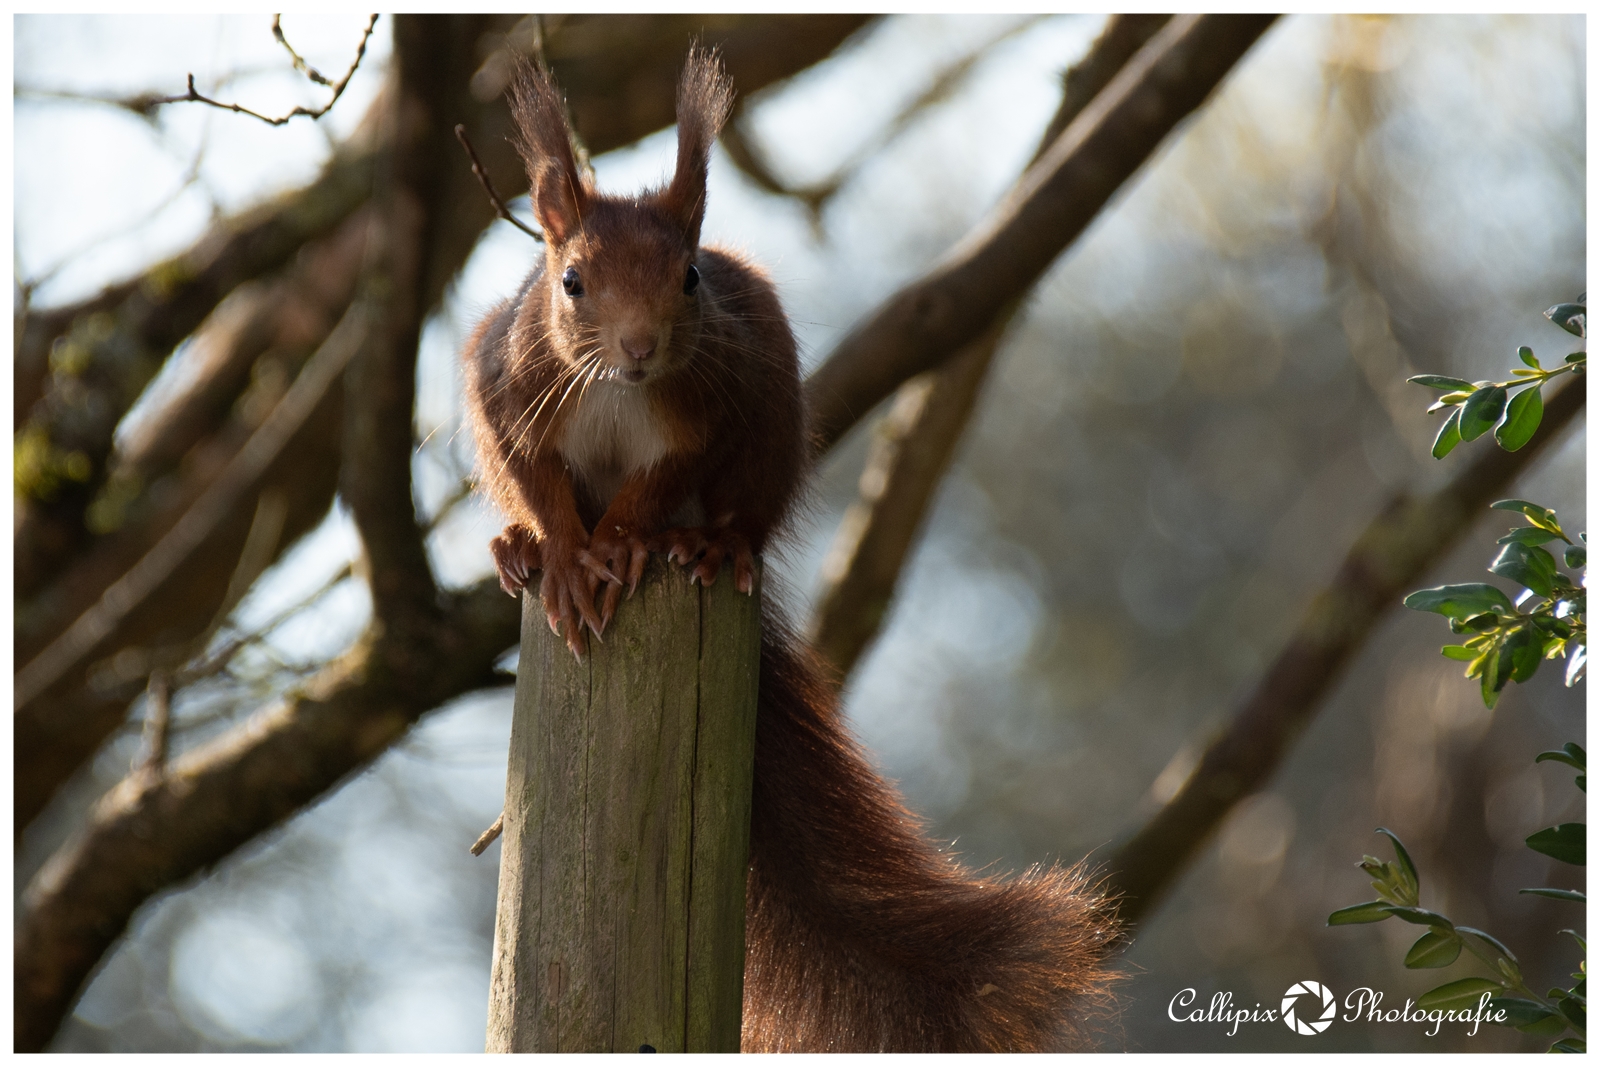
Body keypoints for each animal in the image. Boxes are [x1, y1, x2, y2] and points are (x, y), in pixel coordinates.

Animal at [460, 49, 1113, 1049]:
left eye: (690, 277)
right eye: (570, 282)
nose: (642, 346)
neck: (614, 385)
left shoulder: (707, 411)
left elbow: (656, 484)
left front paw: (620, 544)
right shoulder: (507, 385)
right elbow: (535, 476)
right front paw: (567, 557)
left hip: (770, 429)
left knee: (735, 514)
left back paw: (707, 548)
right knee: (521, 506)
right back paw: (517, 551)